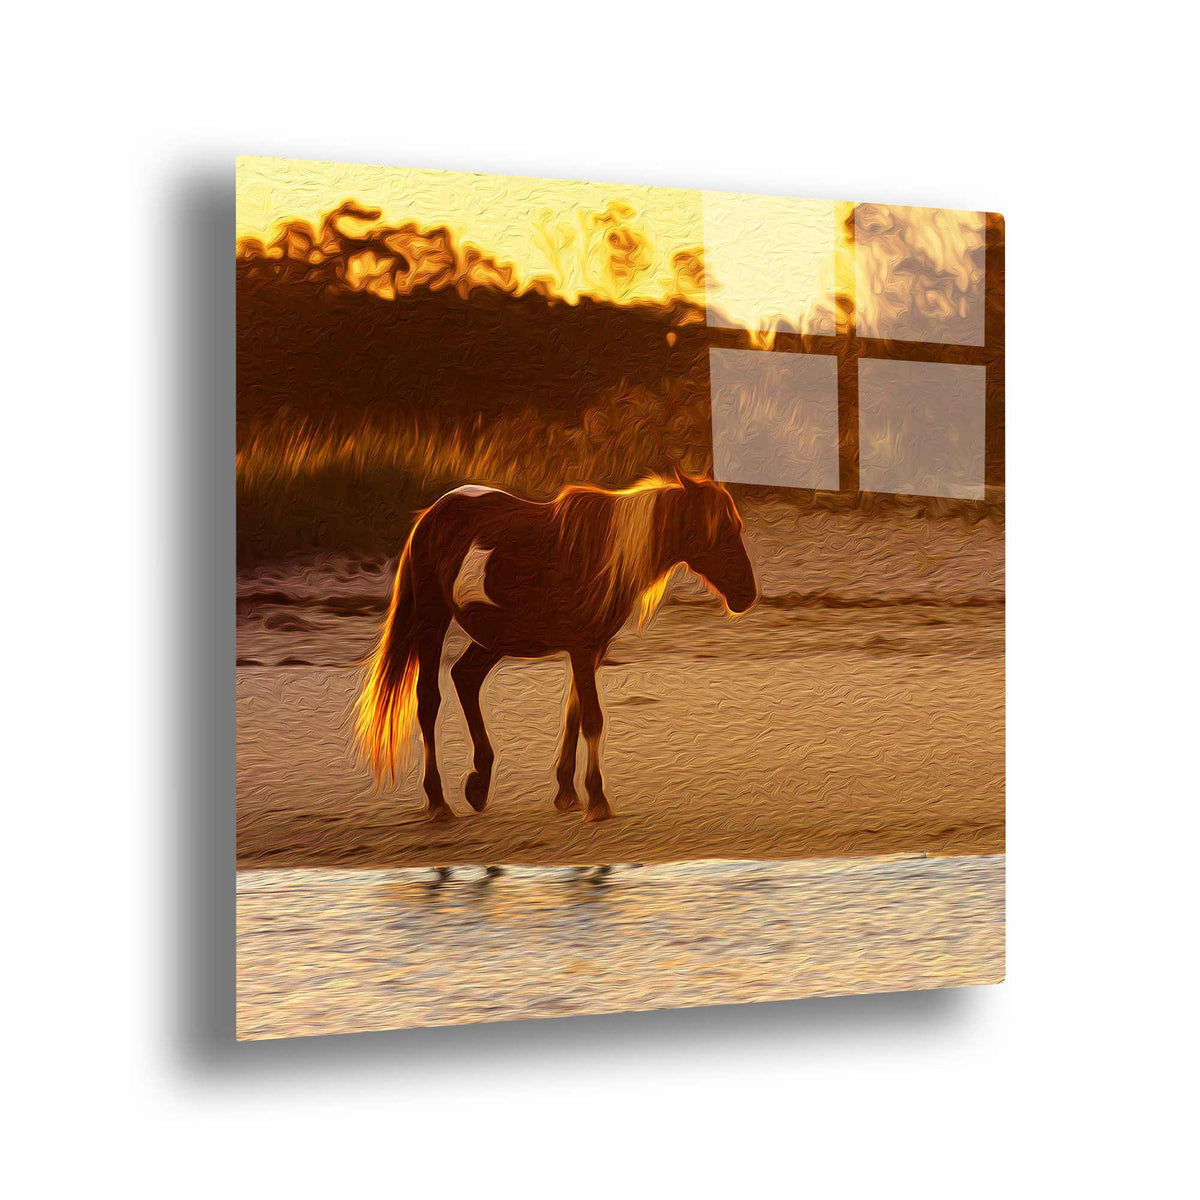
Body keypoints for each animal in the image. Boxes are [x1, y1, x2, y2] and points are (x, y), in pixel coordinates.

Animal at [350, 468, 758, 825]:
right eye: (720, 531)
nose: (747, 595)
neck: (602, 553)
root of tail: (432, 514)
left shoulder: (591, 649)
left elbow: (574, 713)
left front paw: (567, 792)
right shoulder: (582, 648)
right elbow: (592, 719)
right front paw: (597, 799)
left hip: (498, 635)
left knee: (466, 677)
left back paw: (479, 783)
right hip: (433, 617)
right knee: (429, 700)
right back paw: (438, 801)